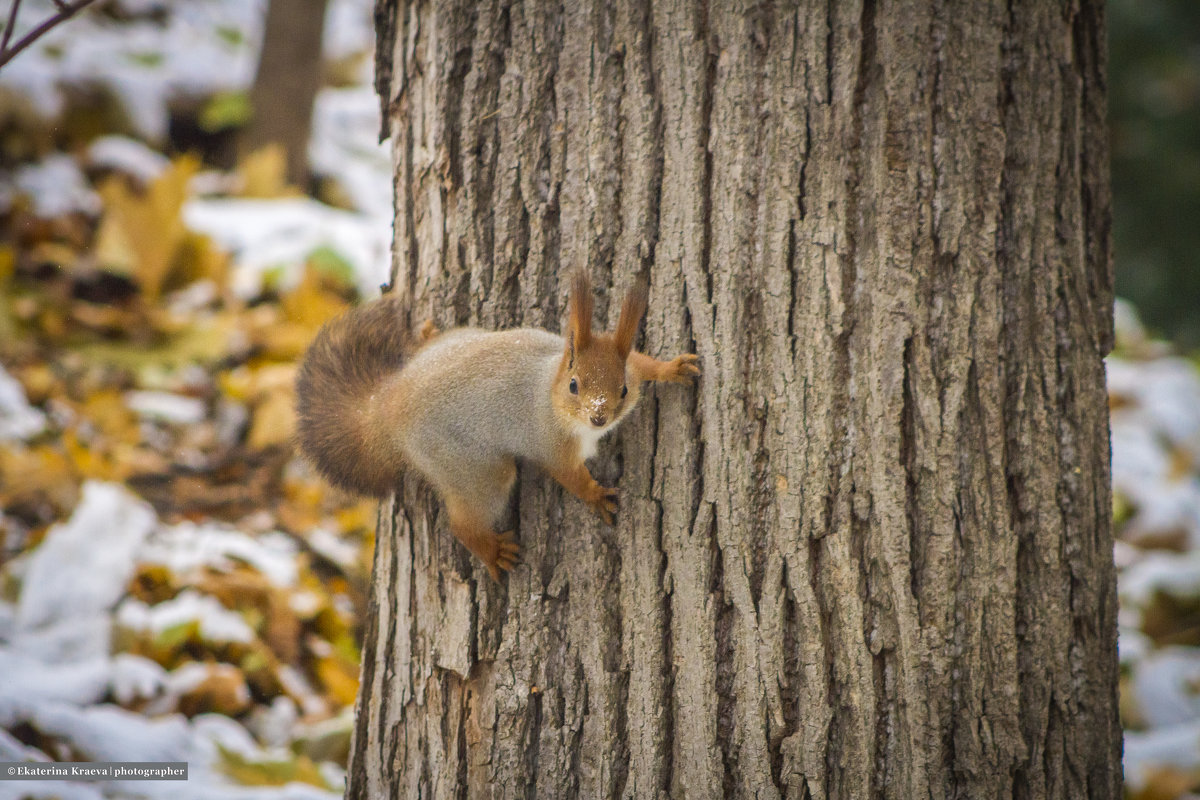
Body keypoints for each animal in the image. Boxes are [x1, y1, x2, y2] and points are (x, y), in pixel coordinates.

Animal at [294, 272, 700, 578]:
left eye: (623, 389)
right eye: (574, 385)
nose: (599, 415)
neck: (548, 384)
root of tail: (387, 406)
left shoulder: (630, 367)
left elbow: (644, 362)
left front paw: (672, 368)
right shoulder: (550, 442)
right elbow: (569, 475)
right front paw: (595, 495)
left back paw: (426, 334)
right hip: (472, 467)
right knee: (464, 522)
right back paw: (492, 551)